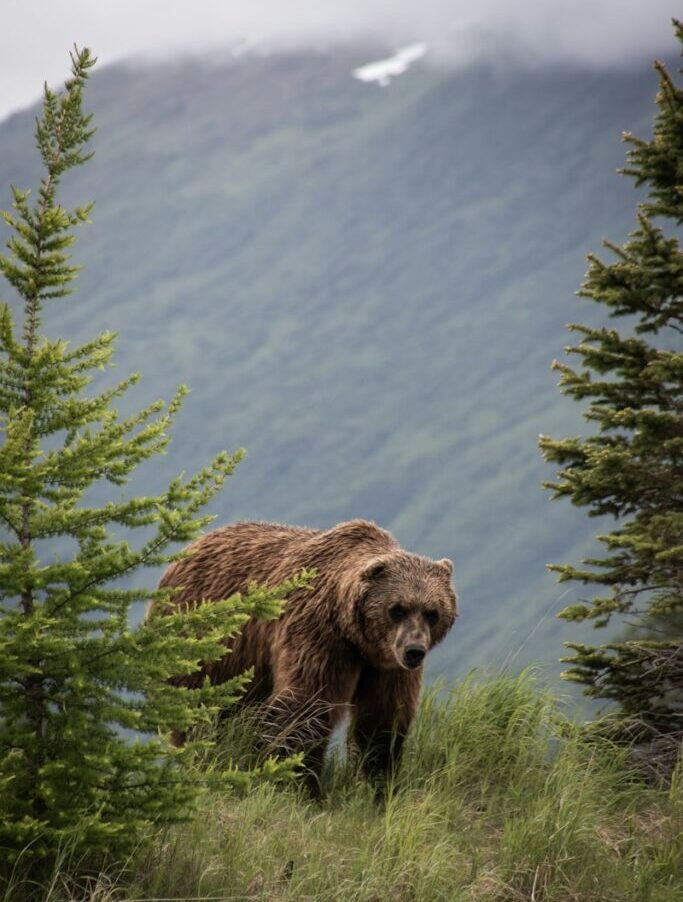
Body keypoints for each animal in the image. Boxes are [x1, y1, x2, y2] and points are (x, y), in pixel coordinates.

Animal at [152, 519, 458, 793]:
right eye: (397, 609)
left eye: (432, 612)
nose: (414, 651)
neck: (356, 638)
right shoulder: (318, 635)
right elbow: (305, 706)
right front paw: (300, 785)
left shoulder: (386, 666)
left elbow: (381, 719)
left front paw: (376, 784)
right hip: (206, 649)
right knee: (203, 713)